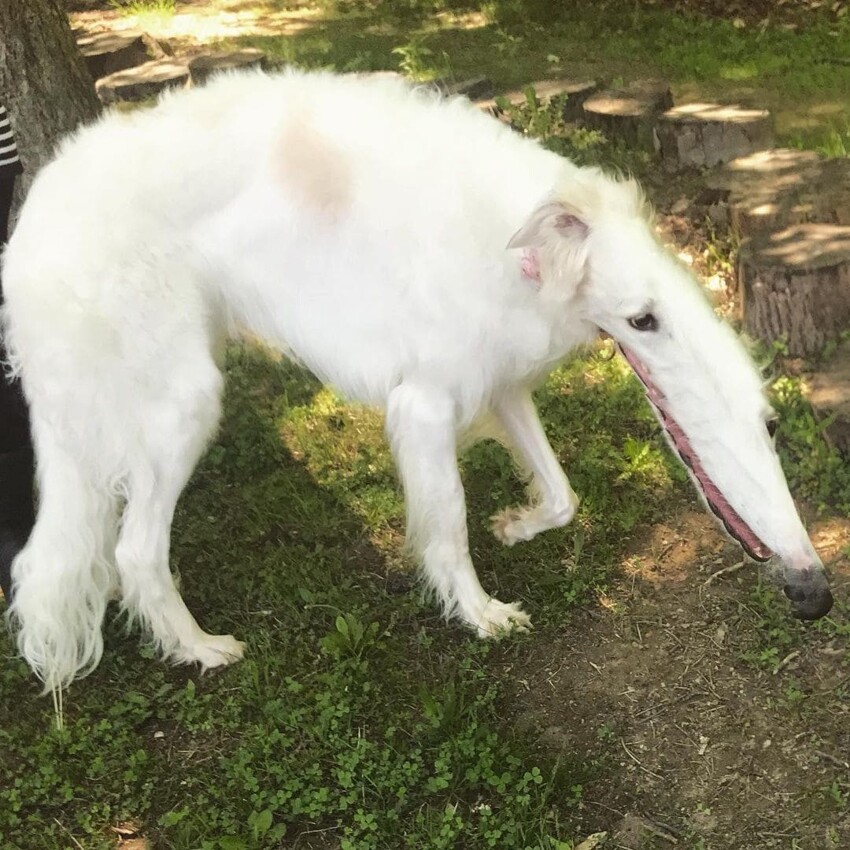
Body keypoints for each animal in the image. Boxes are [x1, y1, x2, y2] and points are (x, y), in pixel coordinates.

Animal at [3, 68, 832, 688]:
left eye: (771, 428)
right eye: (642, 320)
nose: (816, 595)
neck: (518, 244)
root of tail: (35, 216)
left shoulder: (502, 382)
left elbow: (563, 494)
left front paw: (518, 524)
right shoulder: (425, 406)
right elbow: (450, 527)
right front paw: (481, 613)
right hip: (184, 401)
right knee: (135, 550)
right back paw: (199, 647)